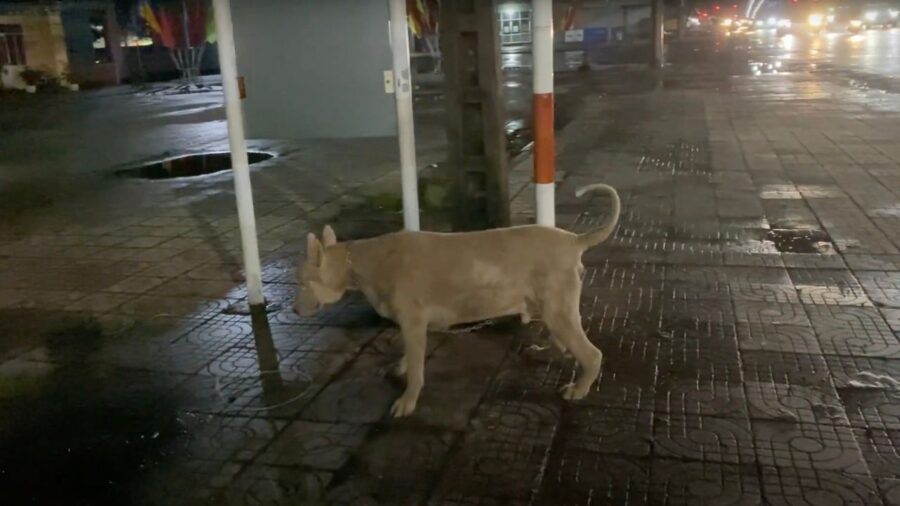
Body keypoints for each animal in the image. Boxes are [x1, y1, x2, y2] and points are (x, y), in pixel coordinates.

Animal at [296, 184, 620, 418]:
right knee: (567, 340)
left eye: (302, 281)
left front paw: (407, 401)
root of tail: (573, 240)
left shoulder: (413, 323)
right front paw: (400, 367)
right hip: (555, 308)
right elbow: (409, 357)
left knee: (593, 354)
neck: (362, 261)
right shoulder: (413, 327)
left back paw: (579, 388)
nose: (294, 309)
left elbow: (417, 370)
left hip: (557, 309)